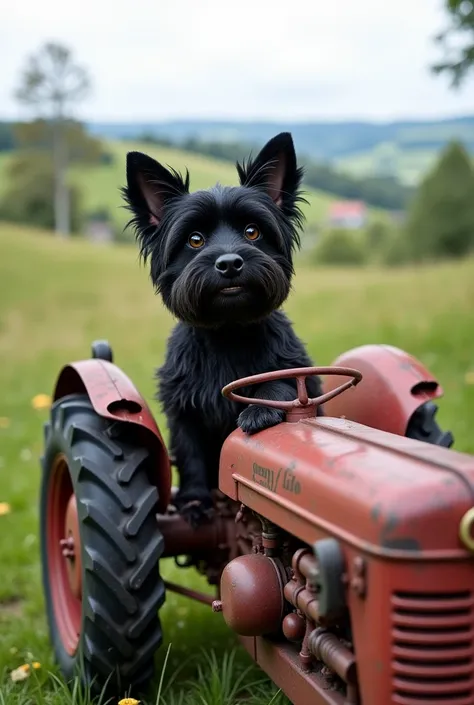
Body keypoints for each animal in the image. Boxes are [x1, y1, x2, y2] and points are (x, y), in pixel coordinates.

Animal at [122, 132, 322, 524]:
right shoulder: (183, 413)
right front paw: (195, 501)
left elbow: (282, 382)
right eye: (195, 239)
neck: (228, 333)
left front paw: (259, 408)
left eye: (252, 231)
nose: (230, 263)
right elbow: (192, 457)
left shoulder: (299, 372)